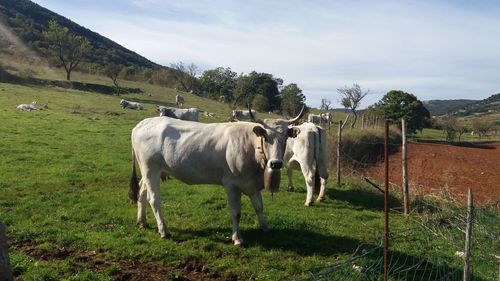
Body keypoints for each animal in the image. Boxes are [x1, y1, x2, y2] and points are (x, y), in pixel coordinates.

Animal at [128, 106, 304, 244]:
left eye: (286, 137)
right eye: (265, 137)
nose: (276, 163)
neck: (251, 147)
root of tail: (142, 123)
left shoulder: (251, 184)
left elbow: (259, 207)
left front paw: (265, 228)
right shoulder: (231, 185)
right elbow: (236, 213)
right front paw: (237, 238)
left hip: (149, 171)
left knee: (142, 192)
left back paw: (142, 222)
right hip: (150, 169)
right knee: (154, 199)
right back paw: (164, 230)